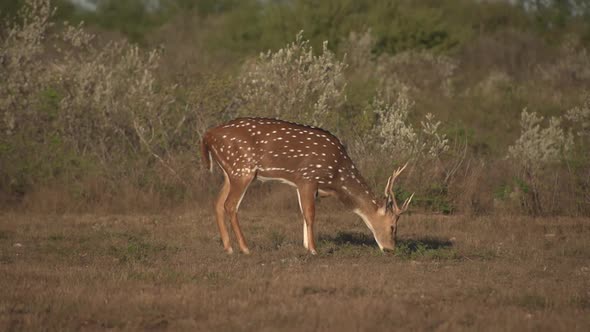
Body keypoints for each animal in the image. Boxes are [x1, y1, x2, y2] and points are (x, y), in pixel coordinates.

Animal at [201, 116, 414, 254]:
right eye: (393, 226)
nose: (390, 249)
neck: (335, 177)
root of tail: (207, 136)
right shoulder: (308, 177)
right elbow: (310, 214)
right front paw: (313, 249)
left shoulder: (299, 182)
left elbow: (303, 213)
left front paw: (305, 245)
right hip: (242, 170)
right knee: (230, 205)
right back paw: (245, 248)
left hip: (230, 173)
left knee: (217, 203)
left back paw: (228, 247)